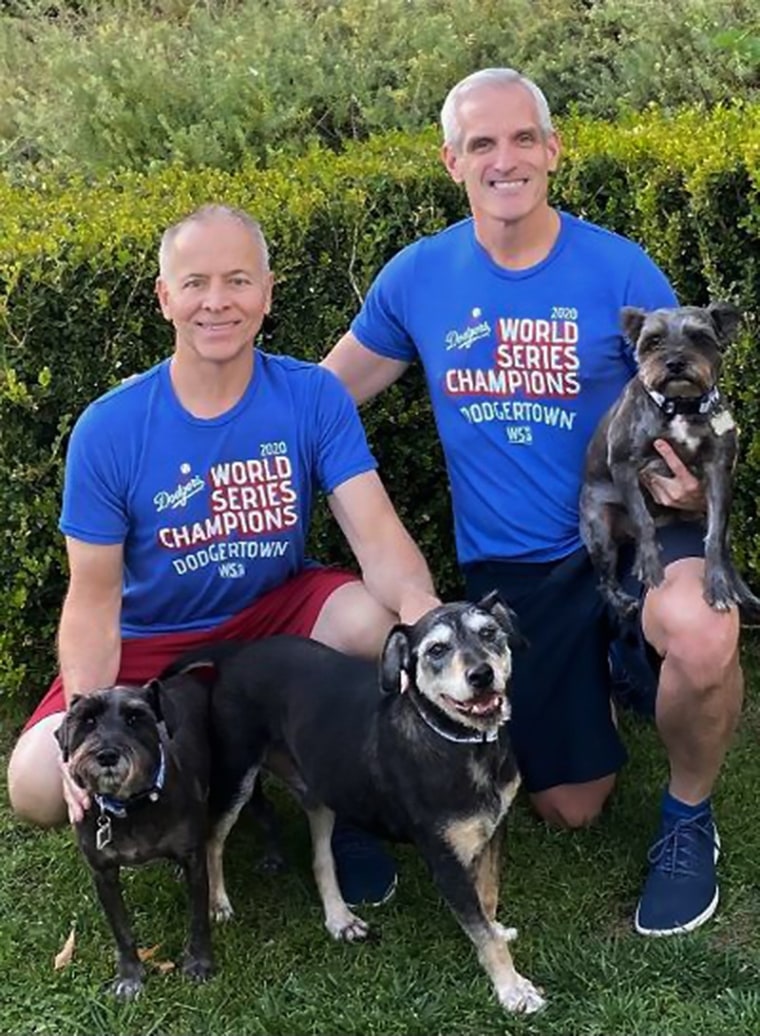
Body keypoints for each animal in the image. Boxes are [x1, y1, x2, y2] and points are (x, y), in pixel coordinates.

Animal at [167, 596, 546, 1015]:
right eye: (437, 649)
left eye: (489, 633)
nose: (481, 674)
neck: (465, 745)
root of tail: (235, 653)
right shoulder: (445, 860)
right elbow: (481, 929)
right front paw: (512, 989)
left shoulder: (493, 831)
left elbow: (488, 898)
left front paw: (497, 932)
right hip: (236, 776)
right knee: (213, 840)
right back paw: (218, 902)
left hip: (320, 789)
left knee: (321, 859)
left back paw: (339, 920)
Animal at [579, 302, 757, 621]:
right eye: (654, 341)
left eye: (699, 338)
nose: (674, 363)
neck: (681, 406)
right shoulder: (623, 465)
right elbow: (642, 520)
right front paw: (649, 564)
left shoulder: (718, 473)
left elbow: (713, 540)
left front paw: (718, 587)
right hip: (600, 532)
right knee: (604, 581)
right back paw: (624, 601)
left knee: (724, 548)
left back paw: (742, 594)